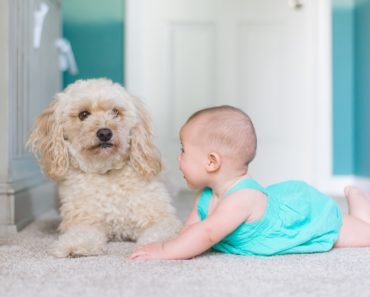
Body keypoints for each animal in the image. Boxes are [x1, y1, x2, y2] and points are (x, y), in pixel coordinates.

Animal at [28, 78, 181, 256]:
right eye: (83, 114)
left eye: (115, 112)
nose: (104, 133)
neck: (106, 171)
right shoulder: (84, 221)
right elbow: (81, 234)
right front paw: (74, 245)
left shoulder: (161, 219)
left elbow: (159, 233)